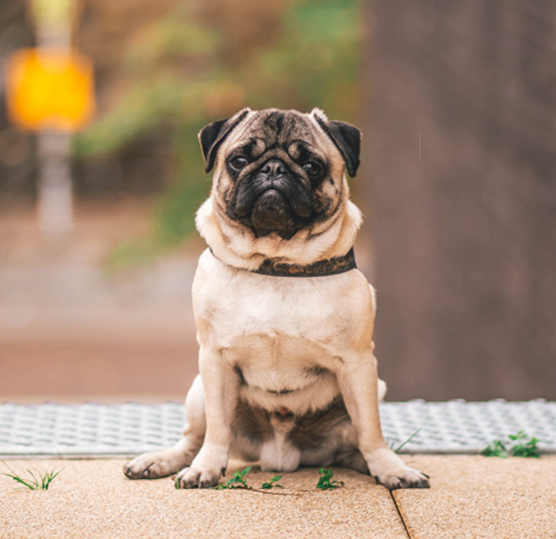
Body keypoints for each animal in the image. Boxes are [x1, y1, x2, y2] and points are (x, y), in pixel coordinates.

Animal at [125, 107, 430, 492]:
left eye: (312, 167)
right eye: (239, 161)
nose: (272, 168)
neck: (276, 264)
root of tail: (280, 455)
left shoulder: (358, 363)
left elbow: (372, 431)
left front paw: (390, 467)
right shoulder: (214, 360)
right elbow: (217, 430)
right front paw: (206, 467)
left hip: (373, 388)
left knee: (356, 442)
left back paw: (373, 463)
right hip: (197, 391)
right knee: (193, 438)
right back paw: (163, 460)